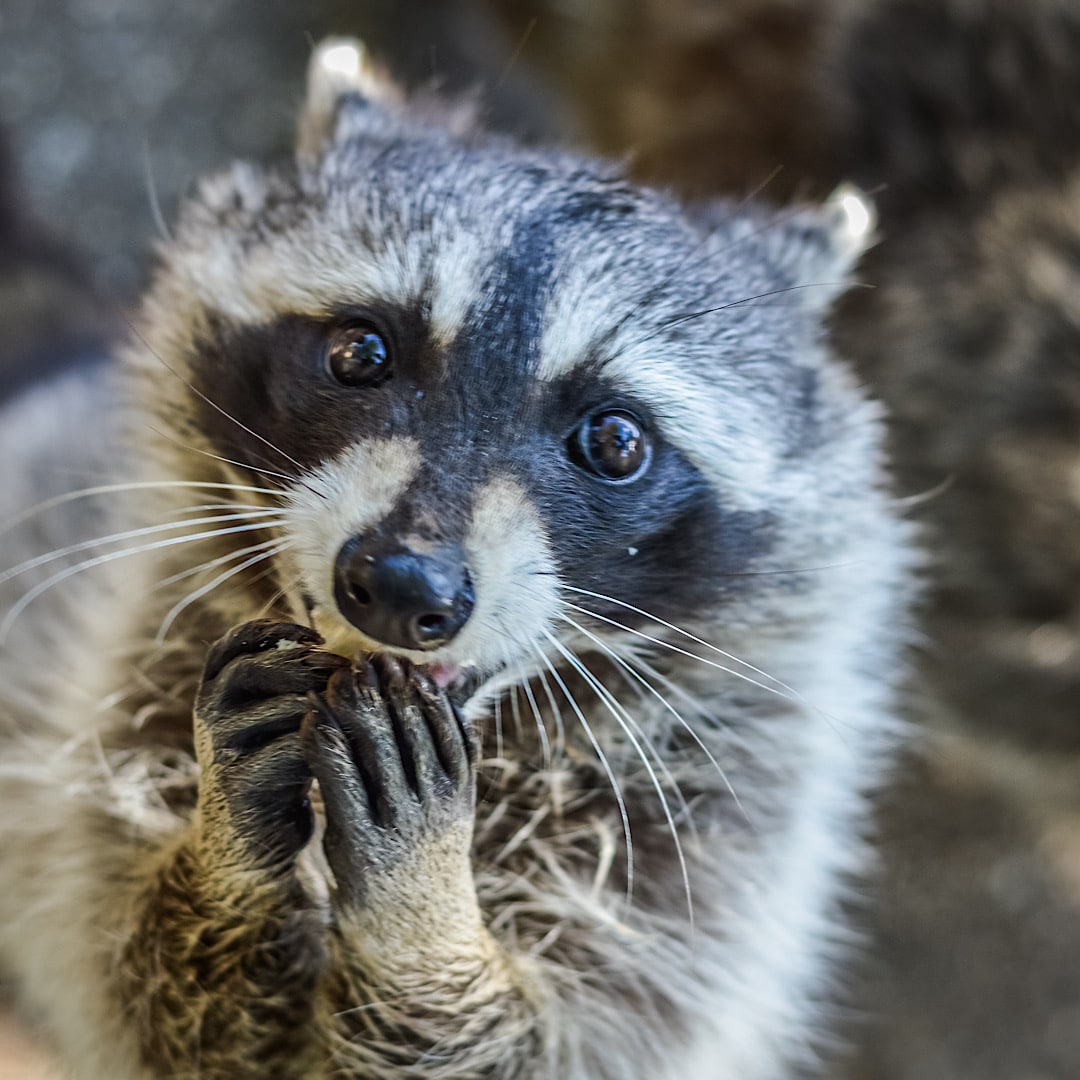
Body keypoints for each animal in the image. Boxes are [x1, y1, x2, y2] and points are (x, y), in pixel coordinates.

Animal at [0, 38, 915, 1075]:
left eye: (616, 440)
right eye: (360, 351)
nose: (403, 586)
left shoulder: (711, 840)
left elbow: (572, 1038)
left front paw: (424, 921)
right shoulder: (121, 693)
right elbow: (144, 998)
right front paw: (224, 853)